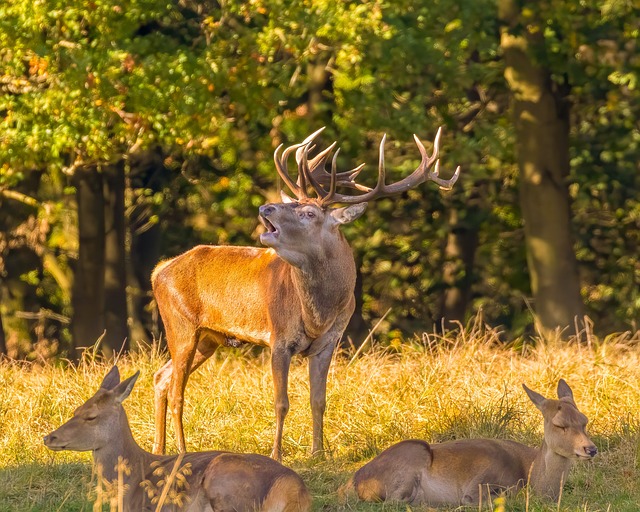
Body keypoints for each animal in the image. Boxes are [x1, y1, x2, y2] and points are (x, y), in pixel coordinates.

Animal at [150, 125, 460, 460]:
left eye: (309, 213)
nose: (265, 207)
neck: (318, 313)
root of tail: (159, 270)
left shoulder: (329, 342)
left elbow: (319, 400)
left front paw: (319, 452)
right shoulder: (279, 337)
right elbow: (281, 402)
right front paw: (276, 454)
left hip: (209, 337)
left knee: (162, 377)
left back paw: (159, 448)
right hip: (181, 325)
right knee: (177, 390)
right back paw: (182, 451)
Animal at [342, 378, 596, 506]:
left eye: (584, 420)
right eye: (560, 424)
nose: (590, 448)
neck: (532, 478)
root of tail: (353, 482)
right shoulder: (479, 484)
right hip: (413, 453)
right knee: (393, 502)